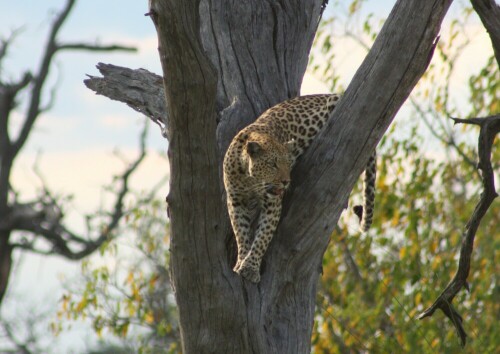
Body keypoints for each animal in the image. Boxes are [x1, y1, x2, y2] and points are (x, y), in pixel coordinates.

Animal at [224, 93, 376, 282]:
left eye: (288, 164)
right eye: (273, 164)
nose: (285, 181)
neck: (249, 177)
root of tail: (332, 93)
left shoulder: (272, 204)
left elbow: (262, 237)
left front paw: (251, 267)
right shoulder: (236, 201)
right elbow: (241, 233)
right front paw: (241, 261)